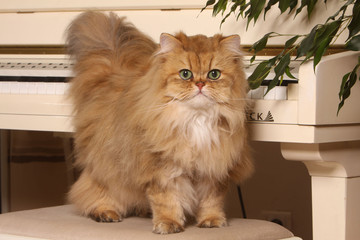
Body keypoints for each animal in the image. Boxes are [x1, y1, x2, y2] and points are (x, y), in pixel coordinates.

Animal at [67, 11, 253, 234]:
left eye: (214, 74)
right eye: (185, 74)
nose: (200, 84)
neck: (196, 119)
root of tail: (112, 75)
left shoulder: (213, 169)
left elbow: (211, 201)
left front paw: (212, 221)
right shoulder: (160, 170)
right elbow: (167, 201)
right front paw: (168, 224)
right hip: (106, 170)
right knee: (89, 194)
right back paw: (106, 213)